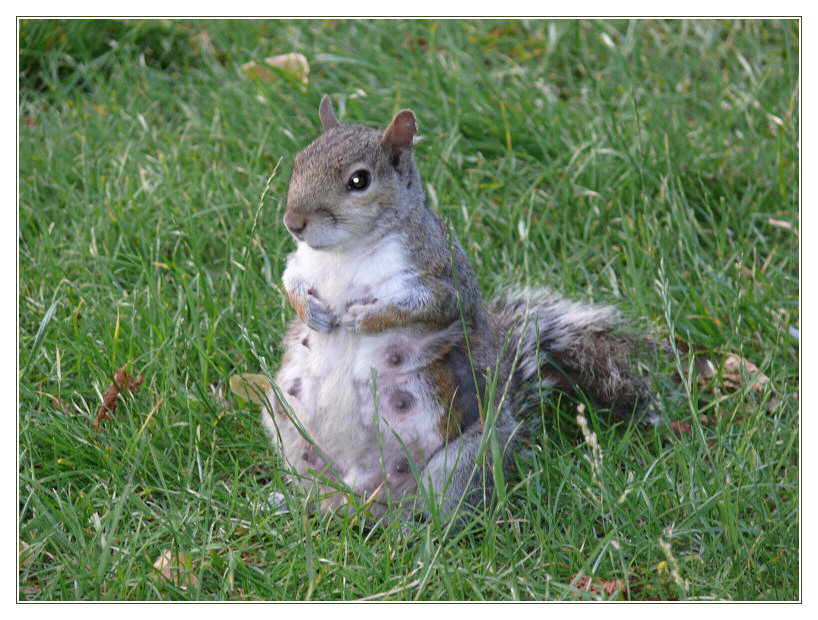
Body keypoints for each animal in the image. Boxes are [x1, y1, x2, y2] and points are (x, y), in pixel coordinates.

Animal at [262, 95, 659, 522]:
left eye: (359, 181)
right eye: (299, 162)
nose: (293, 222)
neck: (344, 252)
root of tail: (364, 500)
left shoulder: (444, 277)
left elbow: (427, 307)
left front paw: (365, 318)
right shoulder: (301, 263)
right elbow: (290, 281)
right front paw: (311, 312)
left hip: (465, 458)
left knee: (442, 512)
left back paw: (416, 528)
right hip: (285, 423)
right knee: (317, 495)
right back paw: (289, 503)